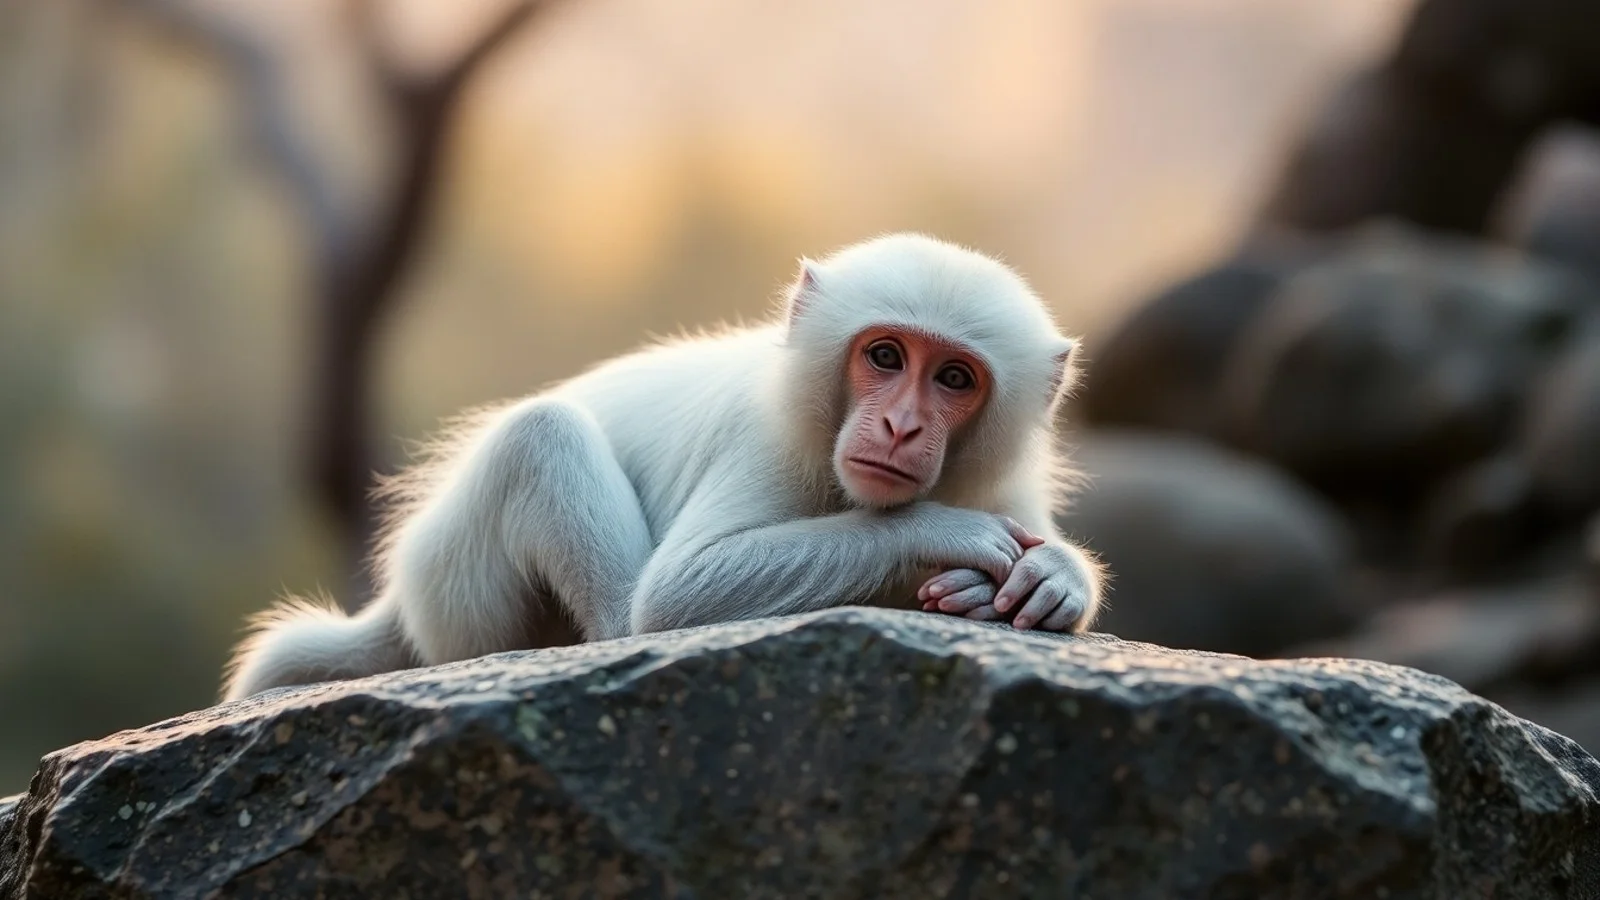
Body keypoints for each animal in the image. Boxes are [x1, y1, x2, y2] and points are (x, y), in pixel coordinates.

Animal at [222, 233, 1104, 701]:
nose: (900, 424)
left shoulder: (1005, 477)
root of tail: (400, 599)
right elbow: (682, 592)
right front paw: (949, 538)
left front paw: (1057, 576)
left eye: (954, 378)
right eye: (885, 357)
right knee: (546, 442)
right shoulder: (767, 441)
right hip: (453, 580)